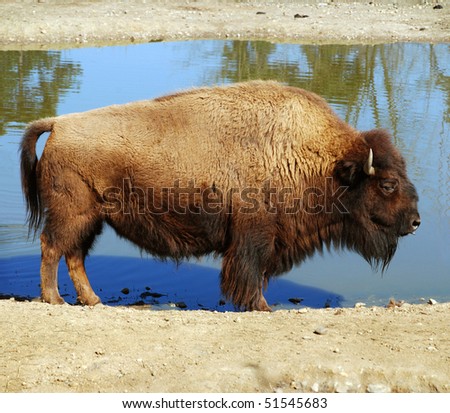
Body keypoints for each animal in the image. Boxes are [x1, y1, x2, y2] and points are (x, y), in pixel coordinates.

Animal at [19, 81, 420, 308]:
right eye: (388, 184)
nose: (415, 222)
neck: (317, 158)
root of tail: (58, 125)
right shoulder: (253, 238)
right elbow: (250, 274)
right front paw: (261, 306)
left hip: (92, 221)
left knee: (74, 256)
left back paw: (93, 300)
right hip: (73, 216)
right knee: (52, 248)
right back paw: (54, 299)